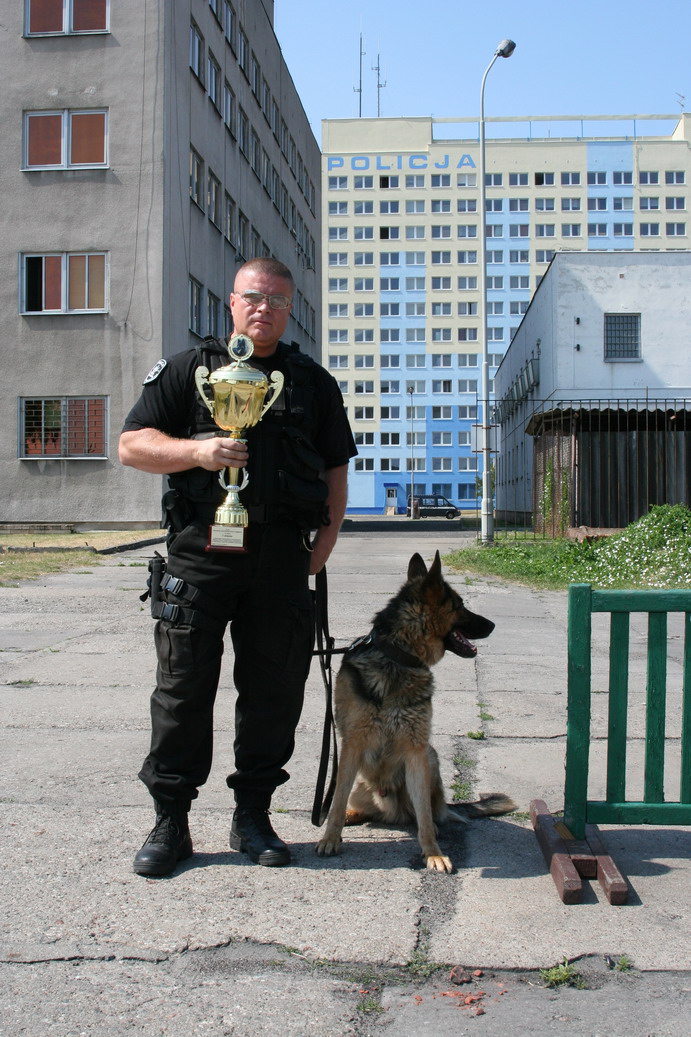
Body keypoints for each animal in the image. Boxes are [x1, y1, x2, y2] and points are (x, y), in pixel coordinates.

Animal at [315, 555, 514, 871]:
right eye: (459, 605)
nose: (493, 624)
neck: (398, 656)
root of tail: (391, 809)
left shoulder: (416, 750)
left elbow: (423, 816)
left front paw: (433, 852)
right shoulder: (352, 747)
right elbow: (335, 802)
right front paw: (330, 838)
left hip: (430, 758)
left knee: (429, 814)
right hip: (362, 779)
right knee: (357, 805)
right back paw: (350, 816)